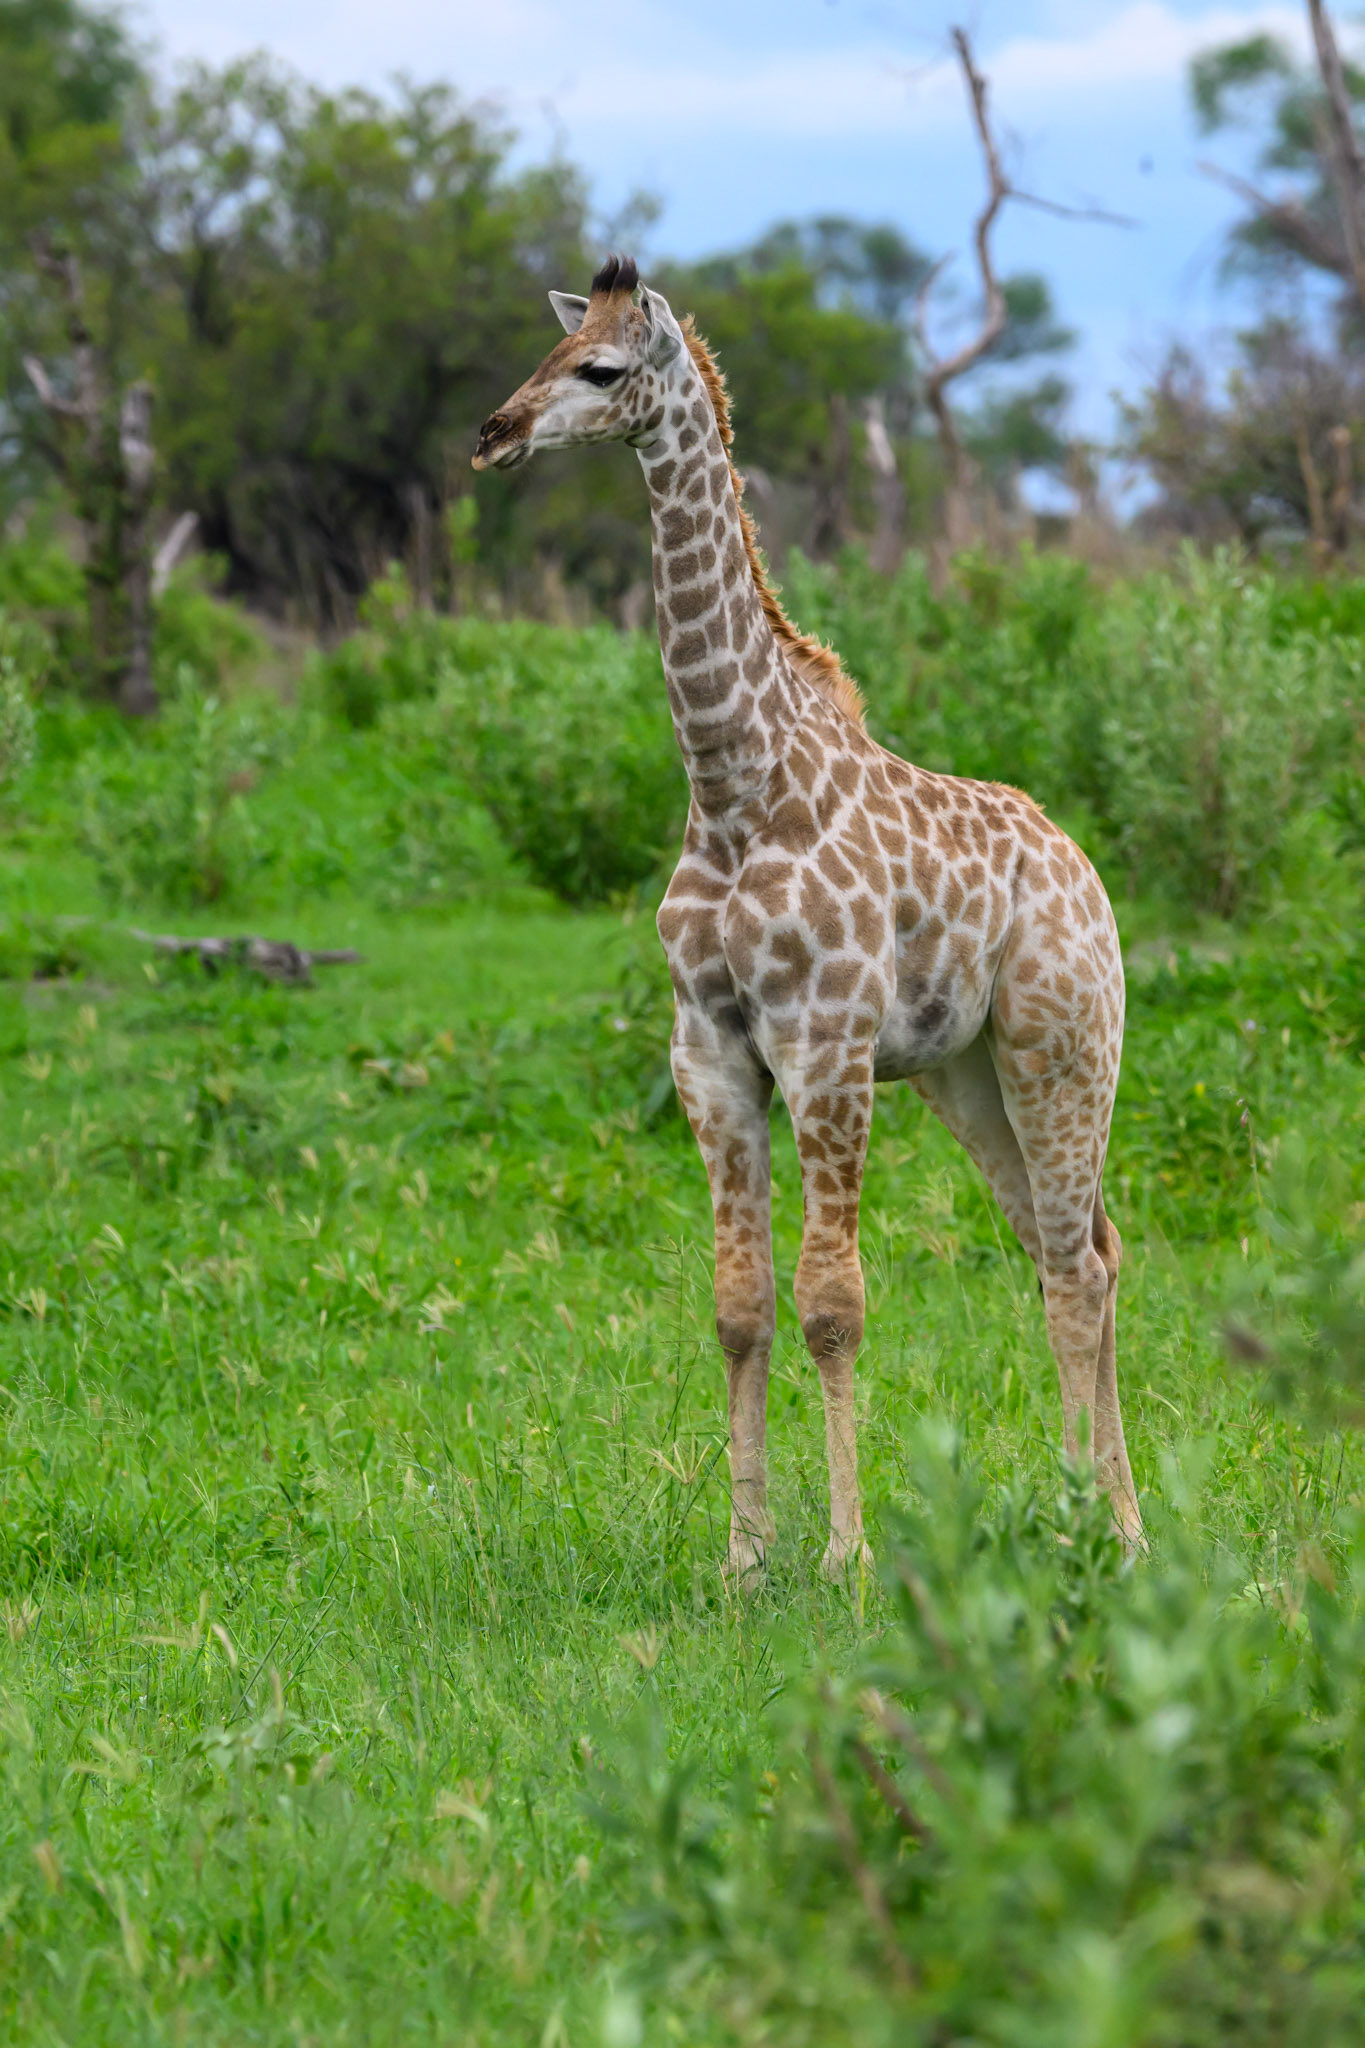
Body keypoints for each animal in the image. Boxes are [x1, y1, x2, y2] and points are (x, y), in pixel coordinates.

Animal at [473, 255, 1142, 1578]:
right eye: (549, 350)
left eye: (602, 369)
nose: (495, 433)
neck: (737, 786)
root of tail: (1084, 870)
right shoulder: (710, 1053)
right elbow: (740, 1308)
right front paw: (745, 1556)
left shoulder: (825, 1046)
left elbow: (834, 1303)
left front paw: (846, 1557)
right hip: (970, 1075)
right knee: (1074, 1250)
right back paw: (1111, 1519)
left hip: (1062, 1046)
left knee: (1075, 1265)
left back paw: (1092, 1525)